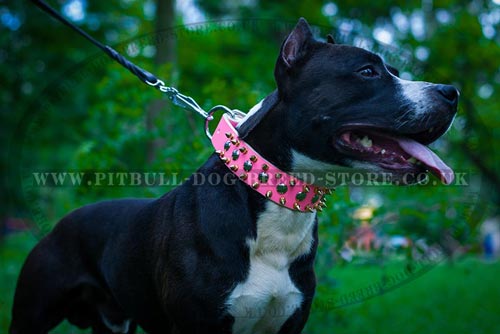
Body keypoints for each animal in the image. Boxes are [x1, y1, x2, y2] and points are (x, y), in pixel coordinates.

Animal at [10, 18, 458, 334]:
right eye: (368, 72)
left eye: (394, 70)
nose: (451, 92)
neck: (277, 202)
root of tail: (60, 225)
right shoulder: (198, 326)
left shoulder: (287, 324)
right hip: (30, 315)